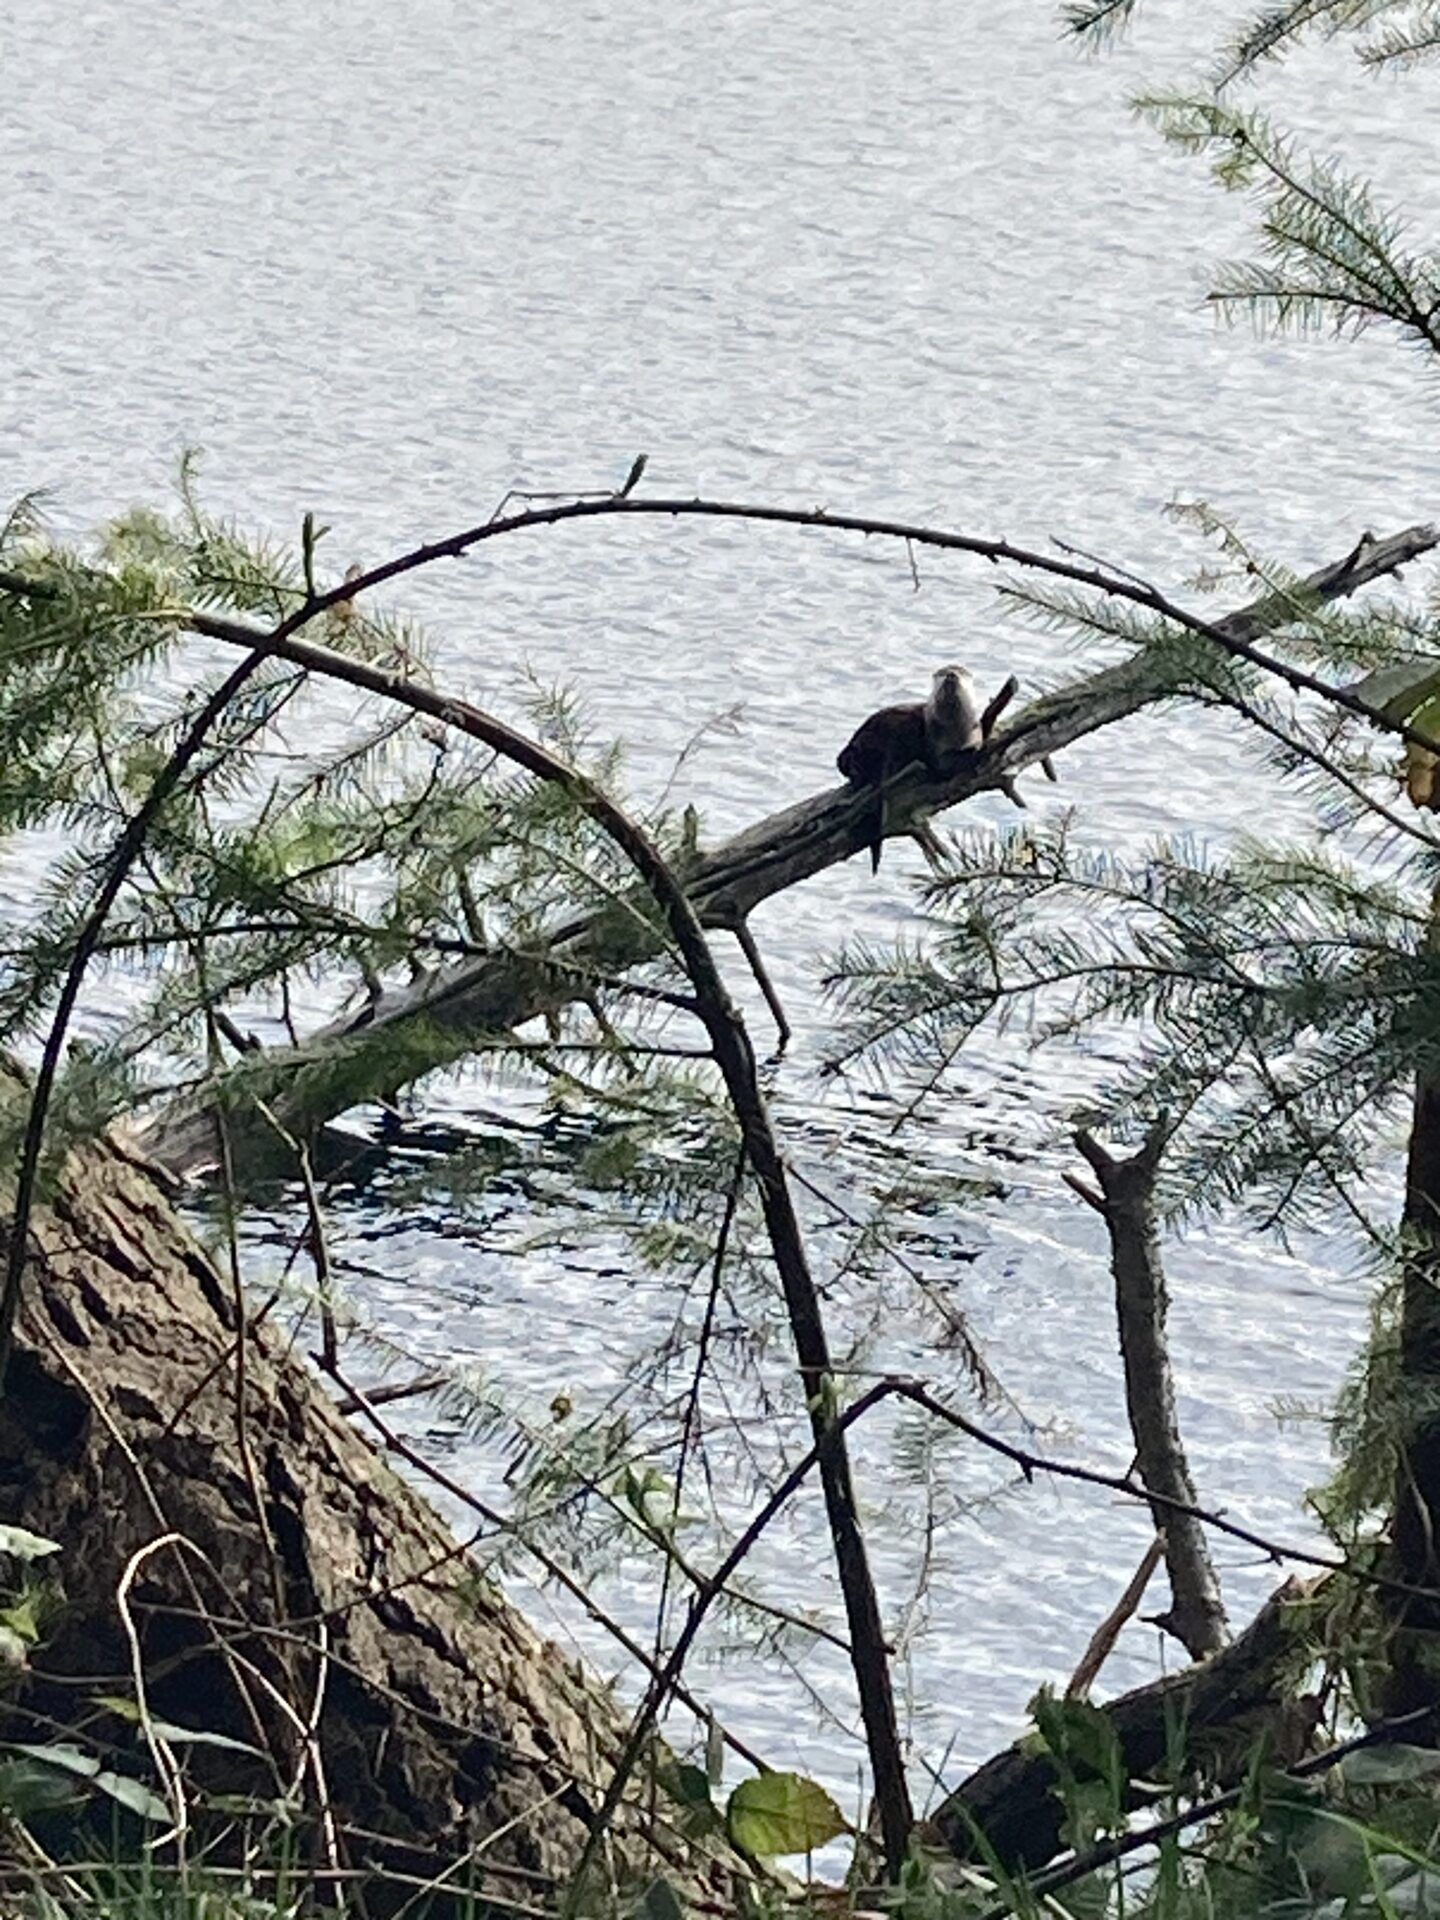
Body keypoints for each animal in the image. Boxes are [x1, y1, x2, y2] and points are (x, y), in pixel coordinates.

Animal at [837, 665, 983, 872]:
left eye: (959, 671)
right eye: (943, 672)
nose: (951, 675)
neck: (954, 732)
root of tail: (852, 747)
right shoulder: (934, 747)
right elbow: (941, 764)